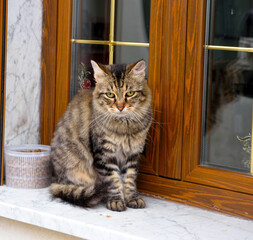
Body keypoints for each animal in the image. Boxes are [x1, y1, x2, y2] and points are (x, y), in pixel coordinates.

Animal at [50, 59, 152, 211]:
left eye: (130, 93)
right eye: (110, 95)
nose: (120, 107)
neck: (125, 127)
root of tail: (55, 179)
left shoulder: (133, 154)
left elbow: (129, 179)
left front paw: (132, 198)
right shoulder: (104, 155)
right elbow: (114, 181)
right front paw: (116, 200)